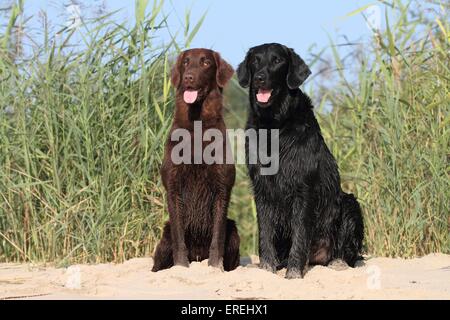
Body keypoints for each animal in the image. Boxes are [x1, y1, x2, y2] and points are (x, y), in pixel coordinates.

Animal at [151, 48, 241, 272]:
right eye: (185, 63)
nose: (188, 77)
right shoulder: (173, 188)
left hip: (234, 231)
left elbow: (217, 237)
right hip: (164, 239)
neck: (196, 126)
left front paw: (215, 266)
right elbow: (179, 237)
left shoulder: (222, 189)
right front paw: (181, 265)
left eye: (206, 62)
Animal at [237, 42, 364, 278]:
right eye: (255, 60)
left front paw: (294, 272)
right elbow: (265, 232)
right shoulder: (262, 188)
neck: (274, 125)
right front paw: (266, 267)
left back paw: (338, 262)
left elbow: (300, 233)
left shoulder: (303, 189)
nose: (259, 78)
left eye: (278, 60)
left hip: (349, 203)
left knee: (349, 254)